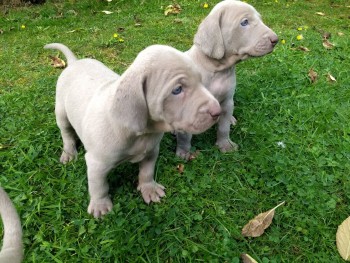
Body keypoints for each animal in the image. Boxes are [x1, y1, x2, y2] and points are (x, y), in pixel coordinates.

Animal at [45, 43, 220, 219]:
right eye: (177, 90)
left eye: (201, 80)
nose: (218, 111)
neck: (143, 133)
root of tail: (74, 63)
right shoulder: (96, 163)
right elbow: (99, 186)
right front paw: (100, 205)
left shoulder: (151, 151)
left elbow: (147, 172)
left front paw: (149, 188)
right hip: (61, 112)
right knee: (66, 133)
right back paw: (69, 153)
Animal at [176, 0, 278, 159]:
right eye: (245, 22)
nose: (276, 40)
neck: (218, 70)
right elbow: (185, 136)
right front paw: (183, 153)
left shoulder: (227, 101)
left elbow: (223, 128)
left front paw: (225, 145)